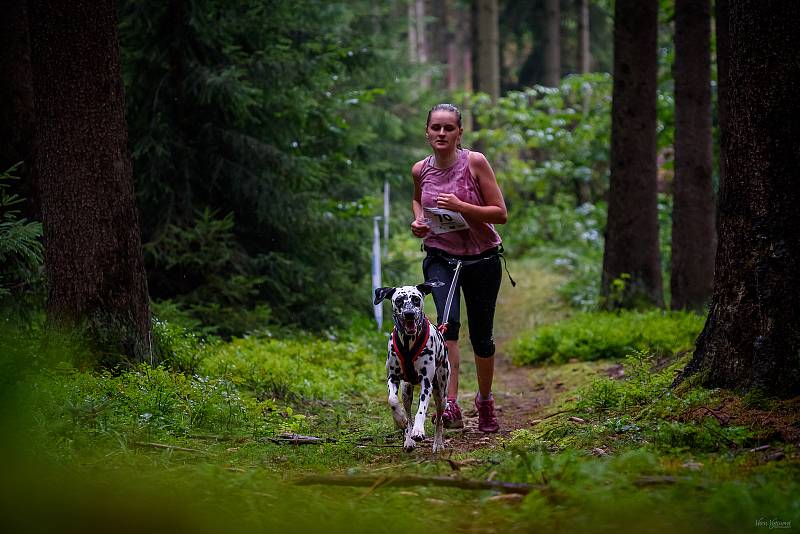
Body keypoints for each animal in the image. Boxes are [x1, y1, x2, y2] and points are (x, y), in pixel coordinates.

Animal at [376, 282, 450, 454]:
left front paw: (418, 430)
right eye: (399, 300)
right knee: (408, 413)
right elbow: (392, 400)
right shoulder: (393, 378)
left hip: (440, 392)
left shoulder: (426, 383)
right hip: (406, 391)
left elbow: (421, 410)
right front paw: (400, 420)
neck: (408, 342)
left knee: (439, 419)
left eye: (416, 299)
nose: (409, 313)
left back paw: (438, 443)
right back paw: (408, 439)